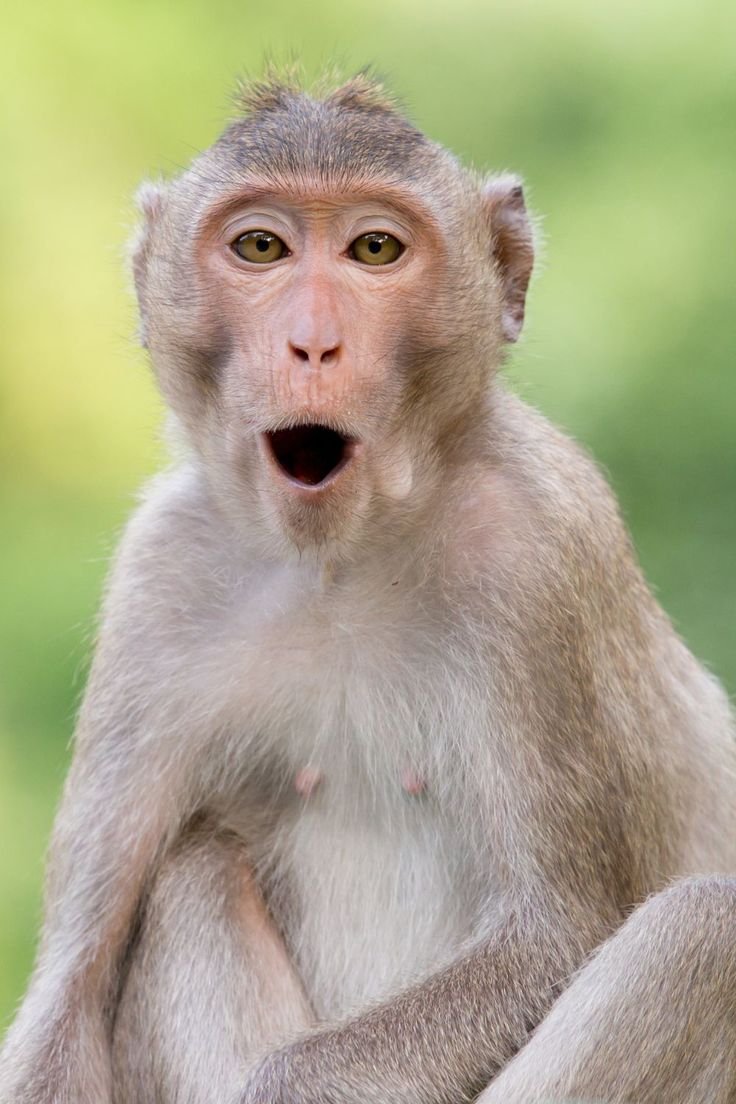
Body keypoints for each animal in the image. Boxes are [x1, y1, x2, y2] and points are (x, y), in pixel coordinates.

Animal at [1, 70, 735, 1104]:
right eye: (261, 247)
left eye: (375, 249)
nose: (314, 344)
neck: (341, 559)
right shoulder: (160, 579)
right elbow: (73, 987)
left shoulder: (540, 550)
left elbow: (551, 935)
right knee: (191, 868)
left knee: (703, 931)